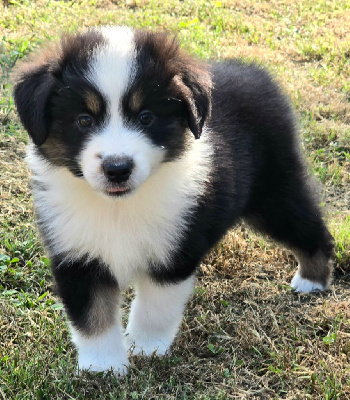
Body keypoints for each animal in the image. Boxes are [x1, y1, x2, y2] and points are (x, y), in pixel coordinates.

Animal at [13, 26, 334, 374]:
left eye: (146, 117)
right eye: (84, 120)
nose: (117, 168)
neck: (119, 207)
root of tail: (254, 73)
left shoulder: (174, 251)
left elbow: (155, 306)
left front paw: (145, 348)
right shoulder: (76, 253)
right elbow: (92, 315)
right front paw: (103, 367)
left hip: (274, 193)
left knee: (308, 226)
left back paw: (312, 279)